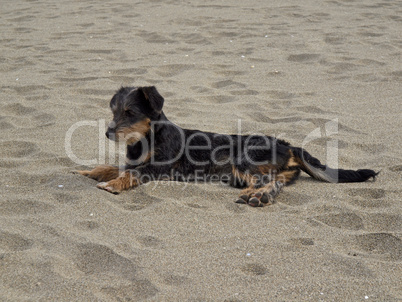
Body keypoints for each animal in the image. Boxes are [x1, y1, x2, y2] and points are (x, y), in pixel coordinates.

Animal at [74, 86, 376, 206]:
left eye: (130, 113)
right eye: (114, 111)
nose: (108, 133)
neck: (147, 137)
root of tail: (288, 146)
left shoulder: (157, 168)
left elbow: (131, 173)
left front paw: (113, 184)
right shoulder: (134, 161)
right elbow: (115, 166)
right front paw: (91, 172)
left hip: (244, 158)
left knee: (267, 181)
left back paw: (257, 195)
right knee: (278, 180)